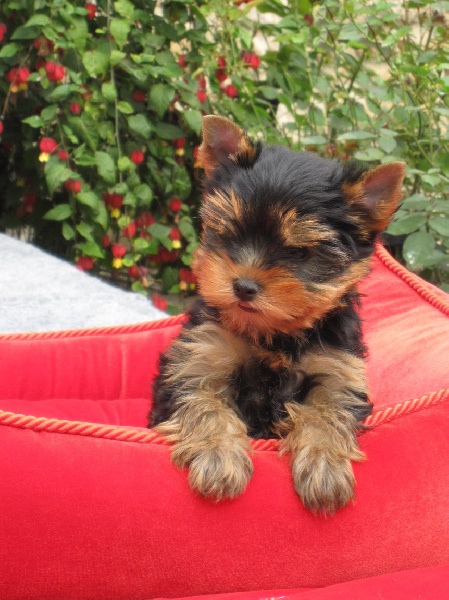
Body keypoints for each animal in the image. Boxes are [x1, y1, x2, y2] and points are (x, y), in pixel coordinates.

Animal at [149, 115, 405, 514]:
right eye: (230, 233)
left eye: (299, 253)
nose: (243, 287)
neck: (274, 333)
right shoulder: (200, 357)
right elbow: (203, 402)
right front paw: (218, 456)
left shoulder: (338, 369)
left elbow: (328, 410)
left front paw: (324, 466)